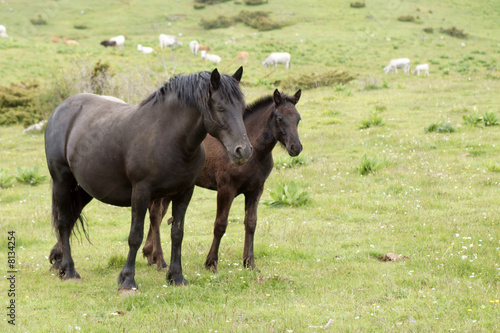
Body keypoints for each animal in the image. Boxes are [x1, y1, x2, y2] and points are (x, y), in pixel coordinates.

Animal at [44, 68, 252, 290]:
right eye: (220, 108)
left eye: (242, 108)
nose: (243, 151)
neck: (169, 137)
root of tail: (61, 109)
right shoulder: (141, 192)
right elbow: (135, 236)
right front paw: (127, 280)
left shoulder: (184, 193)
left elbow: (177, 234)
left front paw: (176, 276)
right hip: (62, 181)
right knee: (63, 221)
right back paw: (69, 270)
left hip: (85, 188)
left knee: (70, 219)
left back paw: (59, 265)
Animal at [143, 89, 302, 272]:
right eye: (279, 118)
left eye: (298, 118)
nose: (296, 147)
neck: (254, 152)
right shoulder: (226, 188)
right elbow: (220, 224)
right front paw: (211, 263)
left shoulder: (256, 189)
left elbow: (251, 223)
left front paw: (250, 263)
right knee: (155, 214)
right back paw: (160, 260)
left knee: (159, 213)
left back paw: (150, 254)